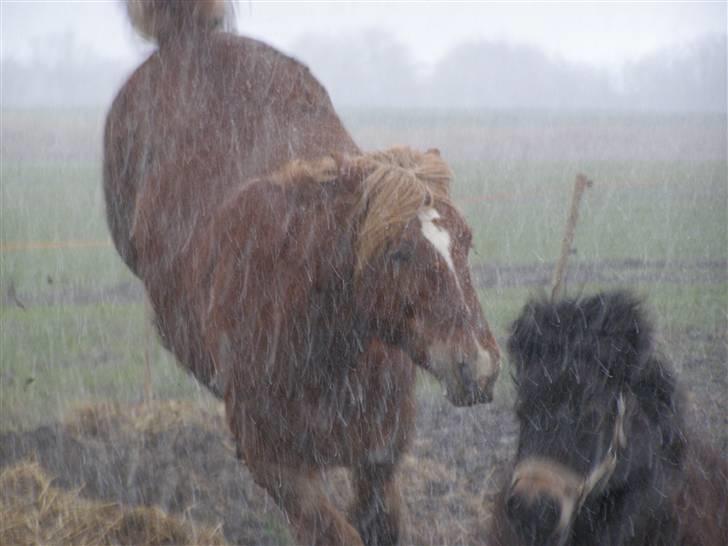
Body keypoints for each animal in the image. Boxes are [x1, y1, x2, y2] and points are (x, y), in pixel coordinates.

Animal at [104, 2, 500, 540]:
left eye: (465, 242)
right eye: (398, 253)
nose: (477, 364)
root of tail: (189, 39)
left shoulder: (377, 459)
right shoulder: (277, 465)